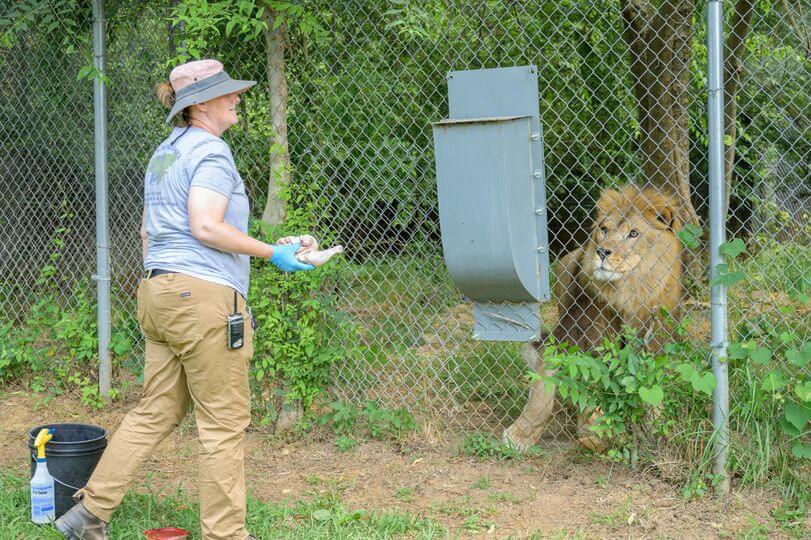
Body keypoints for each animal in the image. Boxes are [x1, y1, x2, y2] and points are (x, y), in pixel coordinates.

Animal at [508, 186, 684, 452]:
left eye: (633, 233)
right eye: (604, 229)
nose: (602, 252)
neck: (626, 294)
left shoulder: (652, 340)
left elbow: (652, 390)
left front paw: (657, 430)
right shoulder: (572, 334)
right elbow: (545, 389)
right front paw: (520, 435)